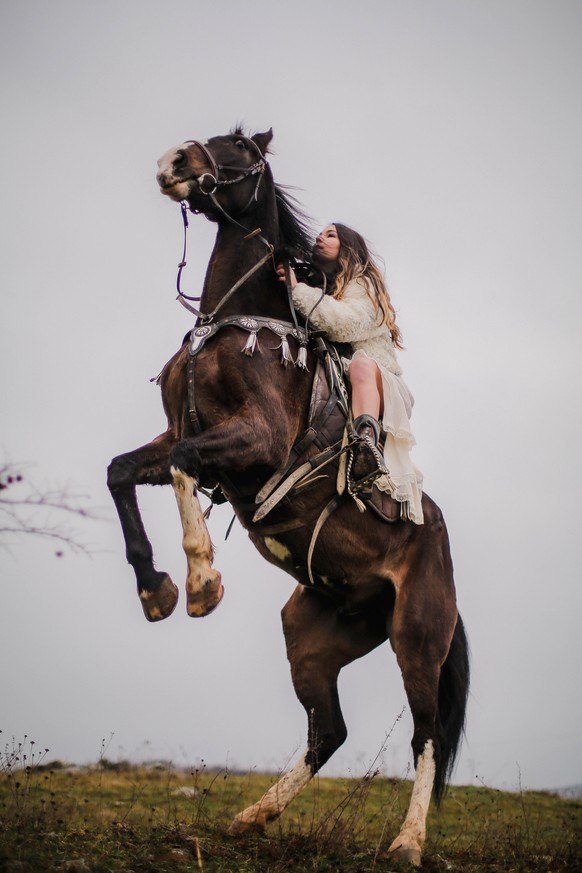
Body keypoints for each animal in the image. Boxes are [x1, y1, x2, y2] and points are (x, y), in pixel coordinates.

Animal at [108, 127, 470, 864]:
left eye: (242, 149)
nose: (174, 162)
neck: (238, 324)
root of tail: (440, 542)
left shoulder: (253, 441)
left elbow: (182, 467)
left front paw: (201, 580)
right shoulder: (176, 434)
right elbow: (122, 472)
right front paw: (155, 587)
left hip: (416, 638)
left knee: (426, 734)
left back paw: (408, 841)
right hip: (313, 635)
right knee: (326, 731)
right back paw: (252, 816)